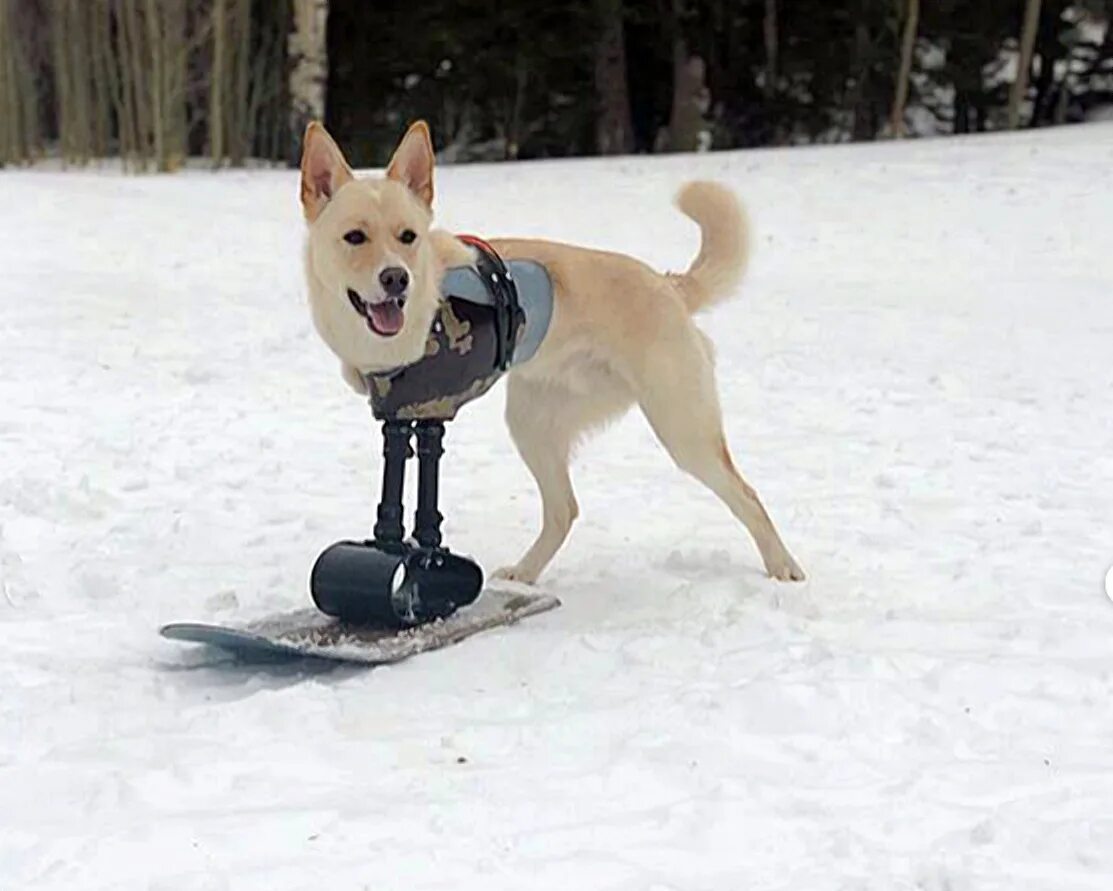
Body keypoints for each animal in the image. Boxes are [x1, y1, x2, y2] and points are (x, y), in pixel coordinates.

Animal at [296, 121, 805, 587]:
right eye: (355, 237)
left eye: (407, 237)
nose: (396, 279)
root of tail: (669, 285)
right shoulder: (400, 411)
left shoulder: (428, 410)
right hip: (532, 422)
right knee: (565, 509)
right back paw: (523, 575)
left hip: (682, 428)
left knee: (747, 494)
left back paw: (784, 568)